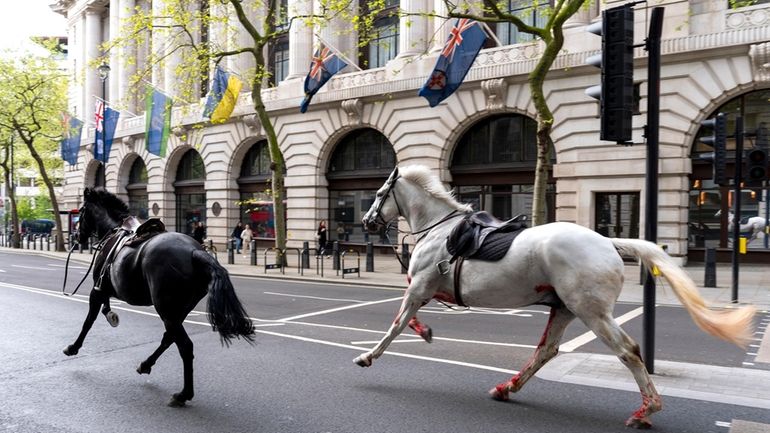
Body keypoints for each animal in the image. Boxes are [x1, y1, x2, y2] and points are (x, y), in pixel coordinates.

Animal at [64, 187, 254, 406]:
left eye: (81, 211)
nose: (76, 236)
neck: (113, 230)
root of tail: (195, 252)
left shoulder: (98, 290)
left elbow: (88, 321)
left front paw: (73, 347)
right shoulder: (104, 290)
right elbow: (104, 309)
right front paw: (111, 315)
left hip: (166, 310)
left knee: (185, 346)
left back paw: (183, 394)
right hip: (177, 311)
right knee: (169, 338)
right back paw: (146, 365)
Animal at [356, 165, 752, 428]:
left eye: (377, 194)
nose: (366, 222)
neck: (439, 229)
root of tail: (609, 243)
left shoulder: (419, 287)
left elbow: (396, 324)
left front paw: (368, 356)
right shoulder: (424, 289)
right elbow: (409, 320)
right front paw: (425, 332)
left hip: (592, 311)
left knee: (629, 351)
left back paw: (646, 410)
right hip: (564, 308)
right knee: (546, 350)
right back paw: (507, 387)